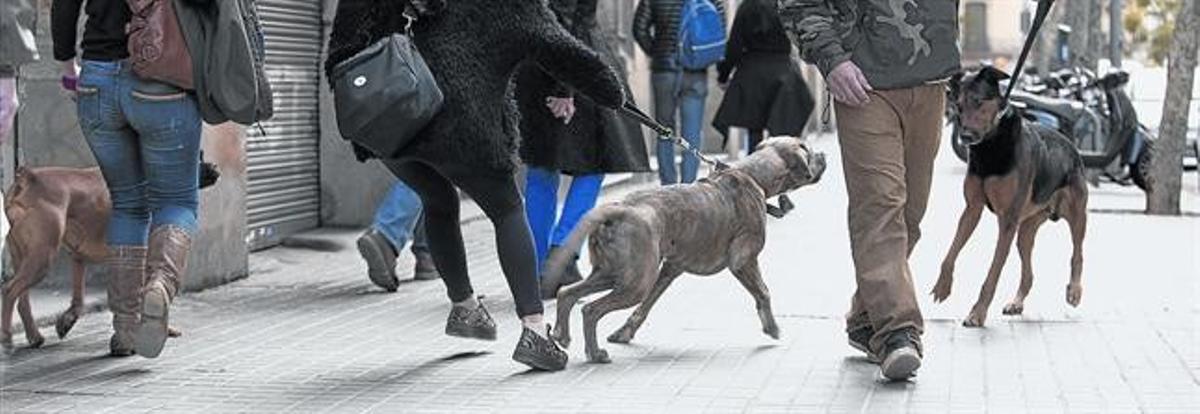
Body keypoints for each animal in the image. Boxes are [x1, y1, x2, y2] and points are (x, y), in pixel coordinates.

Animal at [2, 163, 217, 350]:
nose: (214, 167)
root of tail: (28, 178)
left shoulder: (78, 258)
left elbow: (78, 300)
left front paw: (67, 320)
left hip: (26, 258)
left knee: (22, 300)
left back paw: (34, 336)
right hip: (42, 258)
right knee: (9, 291)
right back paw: (7, 338)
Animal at [544, 136, 825, 362]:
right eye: (807, 150)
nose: (824, 155)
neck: (753, 174)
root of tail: (619, 209)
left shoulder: (671, 268)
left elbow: (646, 305)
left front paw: (625, 332)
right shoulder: (743, 261)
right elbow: (763, 292)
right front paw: (772, 327)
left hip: (615, 273)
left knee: (567, 293)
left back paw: (562, 334)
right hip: (635, 282)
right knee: (591, 310)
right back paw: (595, 353)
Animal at [931, 66, 1094, 326]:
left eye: (978, 101)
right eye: (957, 105)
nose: (965, 136)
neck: (990, 145)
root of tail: (1072, 146)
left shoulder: (1007, 220)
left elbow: (993, 271)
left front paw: (977, 313)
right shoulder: (972, 209)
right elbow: (951, 252)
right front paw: (943, 286)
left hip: (1077, 213)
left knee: (1077, 253)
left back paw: (1074, 291)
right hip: (1026, 229)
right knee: (1028, 271)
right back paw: (1016, 303)